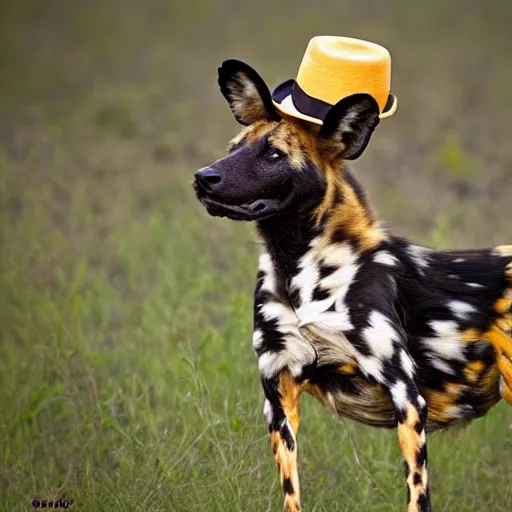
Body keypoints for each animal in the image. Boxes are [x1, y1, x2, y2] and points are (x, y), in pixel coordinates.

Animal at [193, 61, 512, 512]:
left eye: (273, 154)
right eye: (234, 146)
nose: (204, 177)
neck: (298, 273)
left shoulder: (407, 398)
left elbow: (417, 496)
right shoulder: (278, 399)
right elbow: (292, 495)